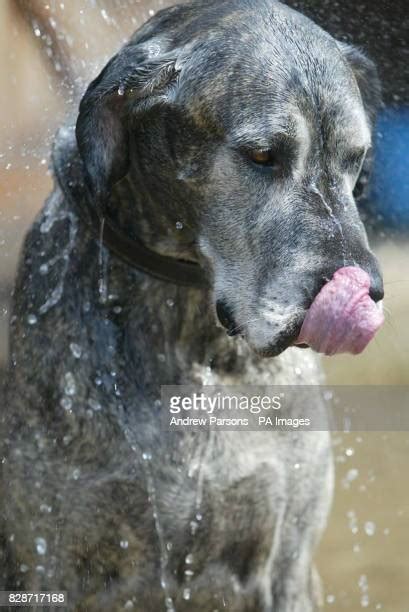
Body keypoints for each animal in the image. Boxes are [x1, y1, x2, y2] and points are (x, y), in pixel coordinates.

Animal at [0, 0, 382, 608]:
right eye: (262, 155)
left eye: (355, 157)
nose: (366, 291)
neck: (195, 341)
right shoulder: (47, 561)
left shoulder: (286, 566)